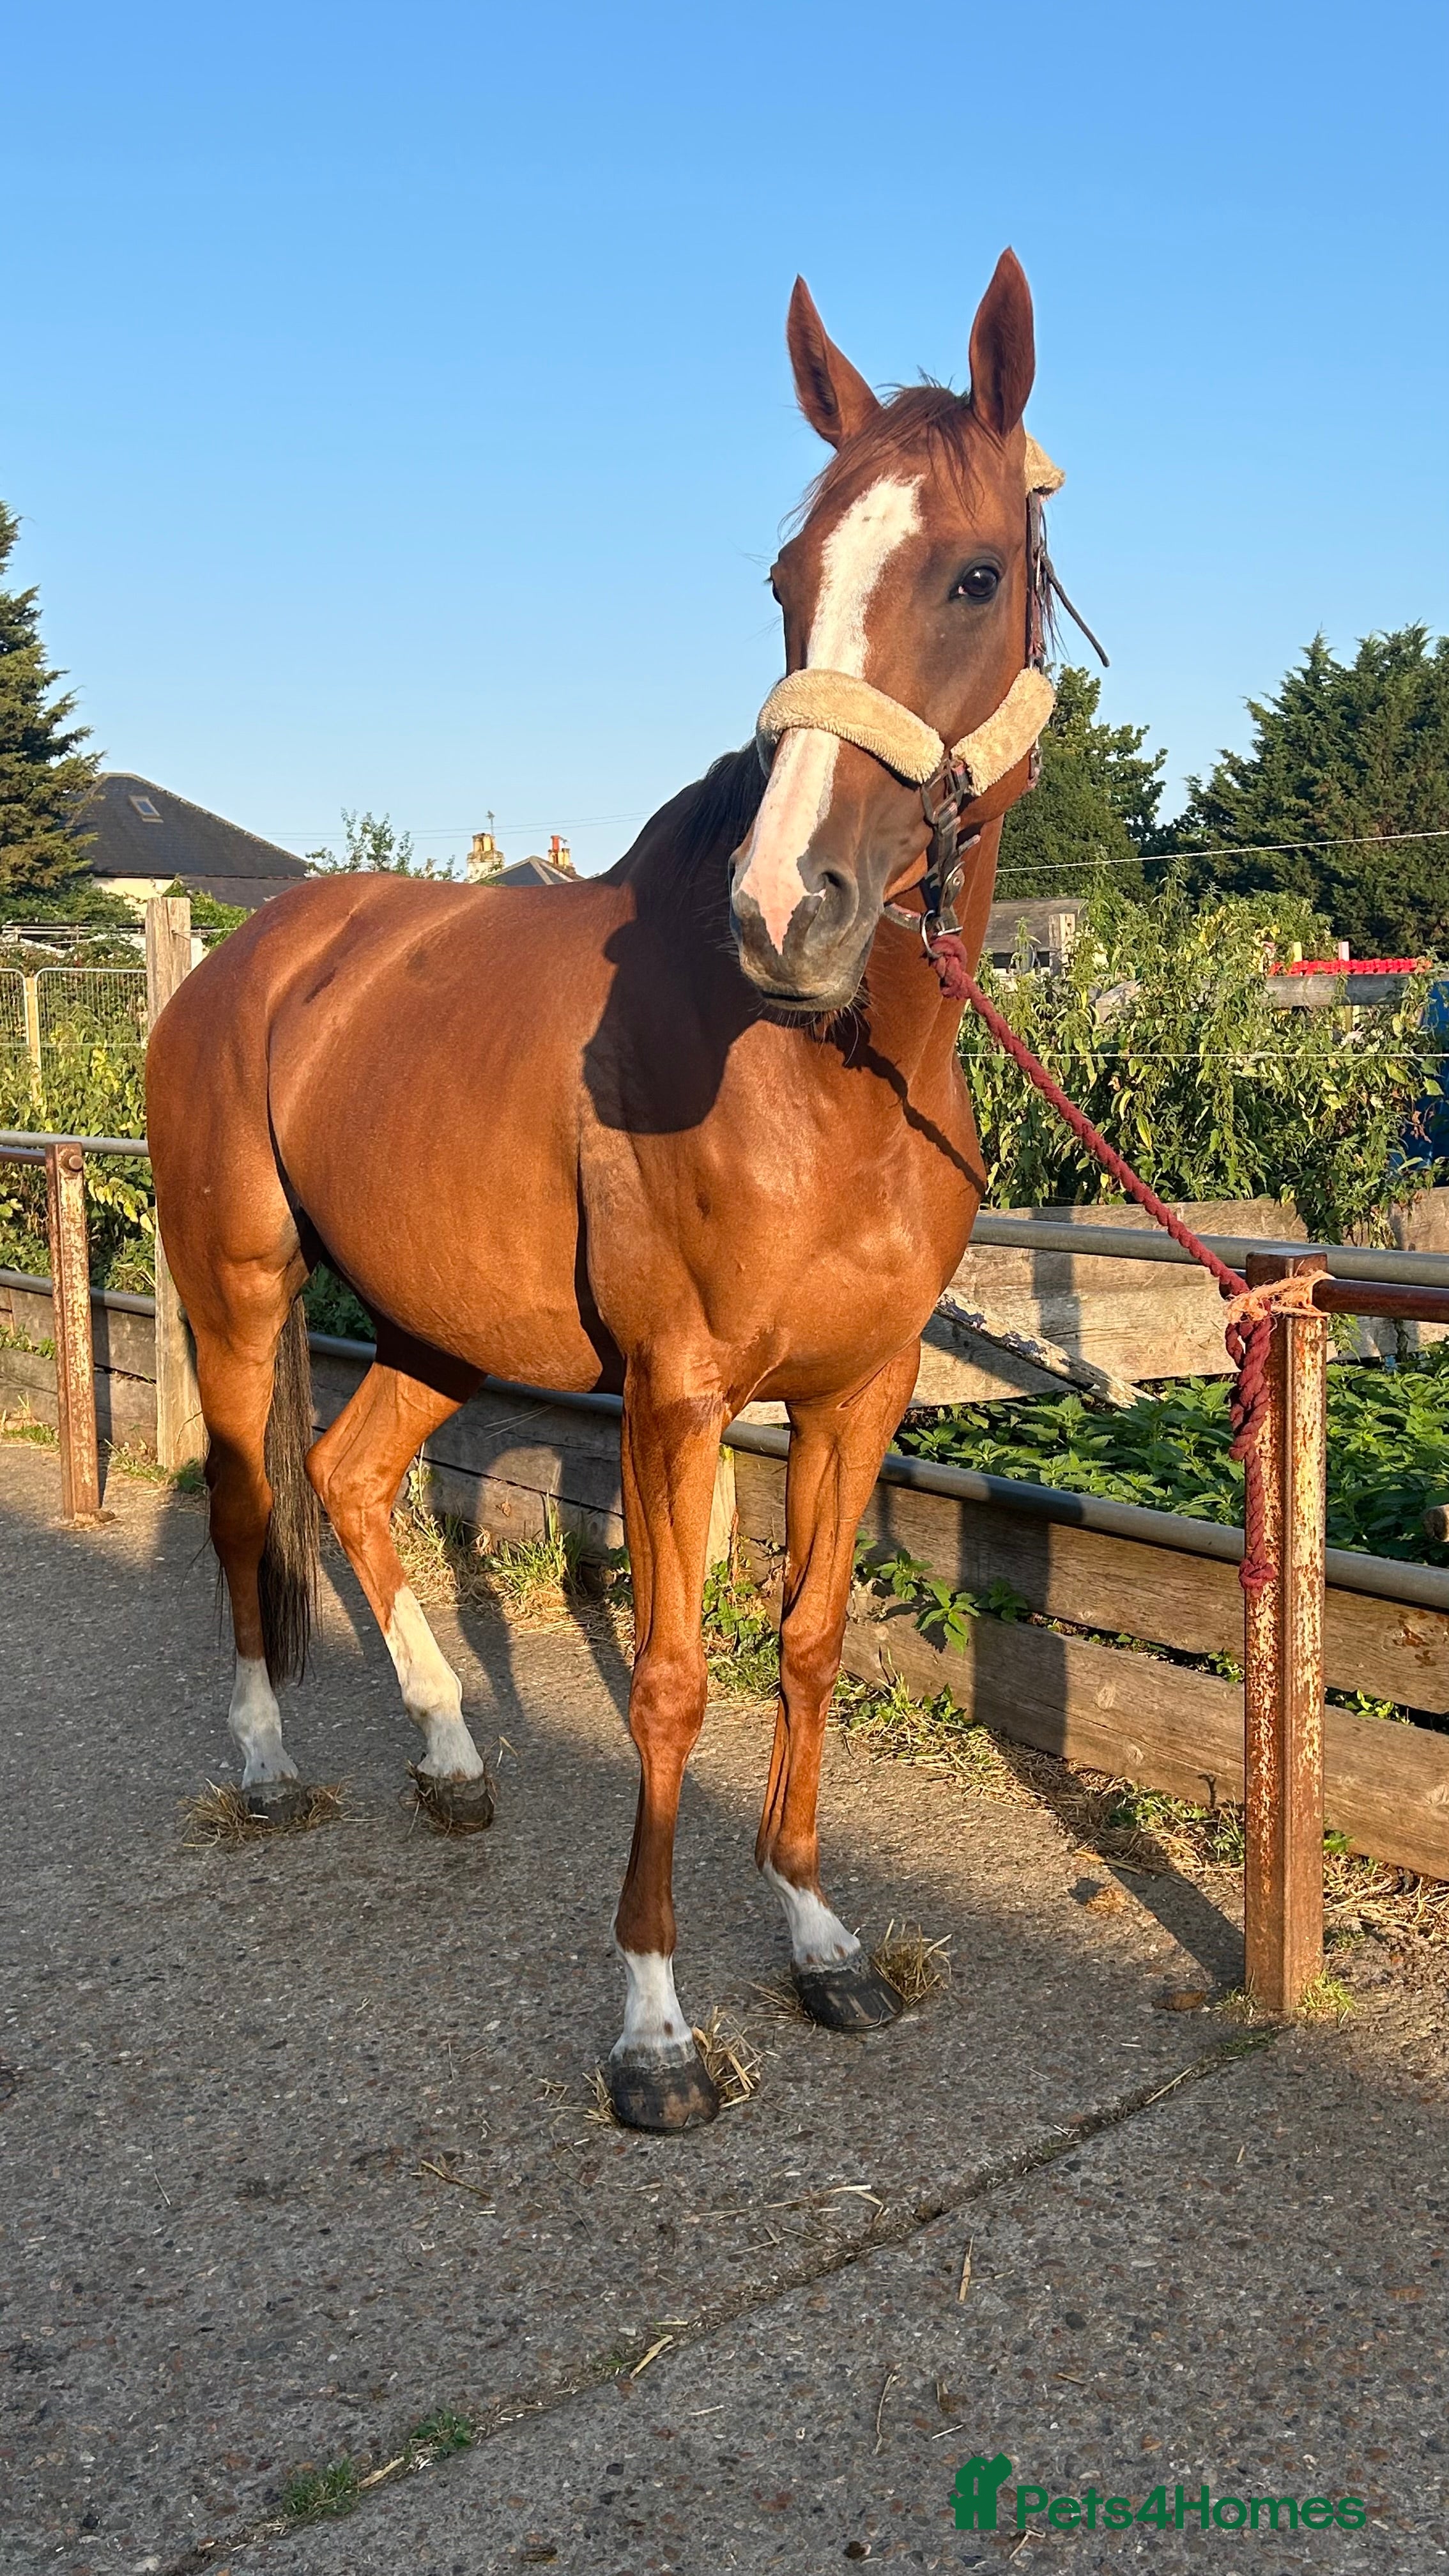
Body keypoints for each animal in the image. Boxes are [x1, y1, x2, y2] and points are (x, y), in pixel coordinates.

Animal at [146, 247, 1059, 2132]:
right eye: (790, 580)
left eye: (973, 571)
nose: (788, 910)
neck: (827, 1075)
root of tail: (254, 952)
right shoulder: (677, 1396)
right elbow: (669, 1682)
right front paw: (651, 2031)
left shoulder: (858, 1395)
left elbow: (805, 1646)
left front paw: (819, 1939)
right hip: (238, 1284)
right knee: (246, 1508)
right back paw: (266, 1767)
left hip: (437, 1322)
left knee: (347, 1480)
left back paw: (449, 1755)